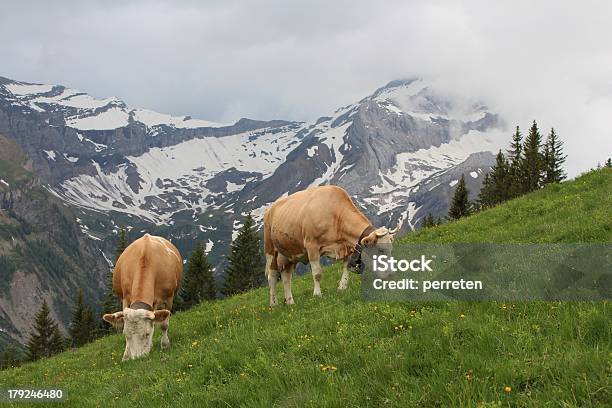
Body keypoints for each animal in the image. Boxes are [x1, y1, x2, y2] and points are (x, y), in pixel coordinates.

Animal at [262, 185, 402, 306]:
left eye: (391, 249)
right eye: (381, 250)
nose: (391, 274)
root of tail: (271, 209)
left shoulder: (347, 247)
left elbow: (346, 267)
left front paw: (342, 287)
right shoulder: (311, 246)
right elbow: (317, 273)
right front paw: (317, 295)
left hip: (288, 254)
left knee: (286, 277)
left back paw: (290, 302)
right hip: (271, 250)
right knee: (272, 276)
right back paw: (273, 303)